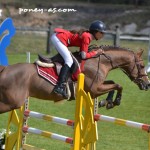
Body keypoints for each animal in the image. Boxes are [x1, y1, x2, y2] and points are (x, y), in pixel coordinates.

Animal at [0, 45, 149, 113]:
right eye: (142, 66)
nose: (147, 85)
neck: (99, 62)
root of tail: (5, 69)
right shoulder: (94, 90)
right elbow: (118, 85)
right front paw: (115, 101)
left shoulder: (98, 86)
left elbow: (113, 83)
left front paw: (106, 102)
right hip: (13, 102)